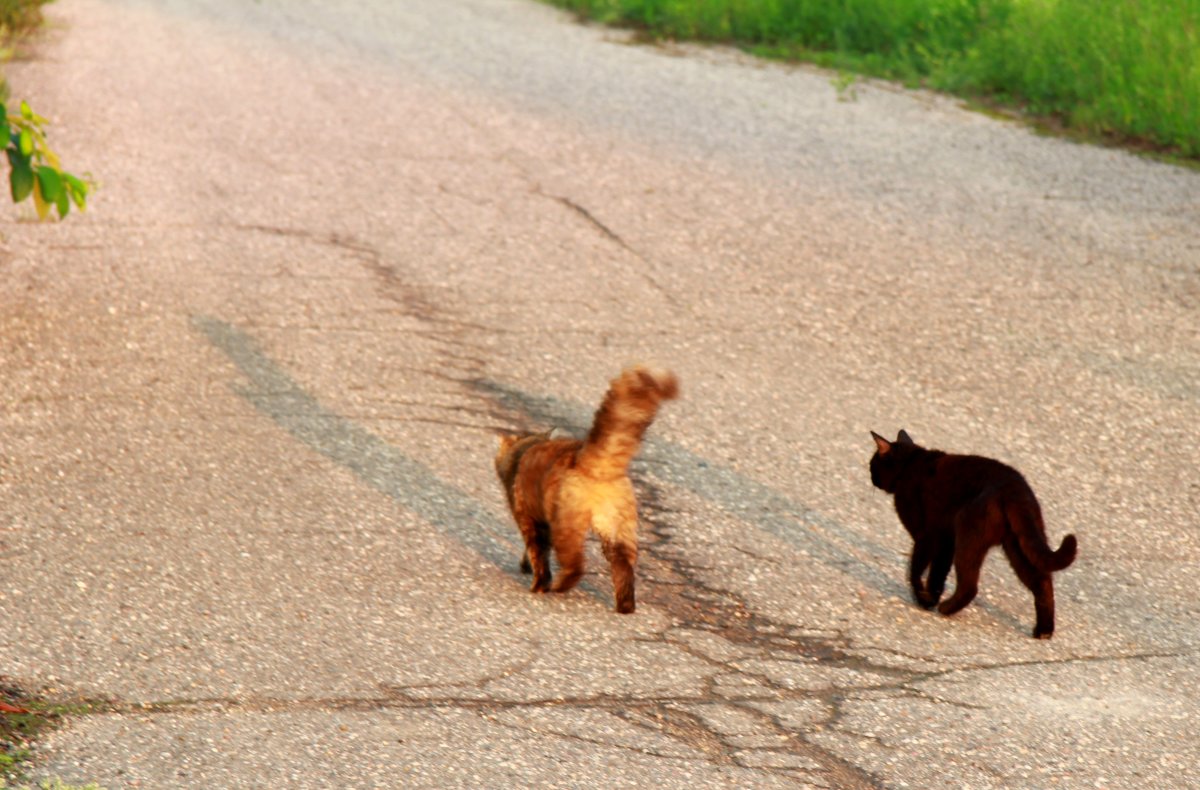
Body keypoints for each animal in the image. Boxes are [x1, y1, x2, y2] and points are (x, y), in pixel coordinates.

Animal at [494, 364, 681, 612]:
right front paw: (526, 567)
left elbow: (538, 554)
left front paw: (537, 584)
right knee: (624, 569)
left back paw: (558, 586)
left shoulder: (528, 517)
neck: (527, 447)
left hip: (567, 524)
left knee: (576, 565)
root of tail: (594, 463)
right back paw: (625, 607)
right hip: (619, 531)